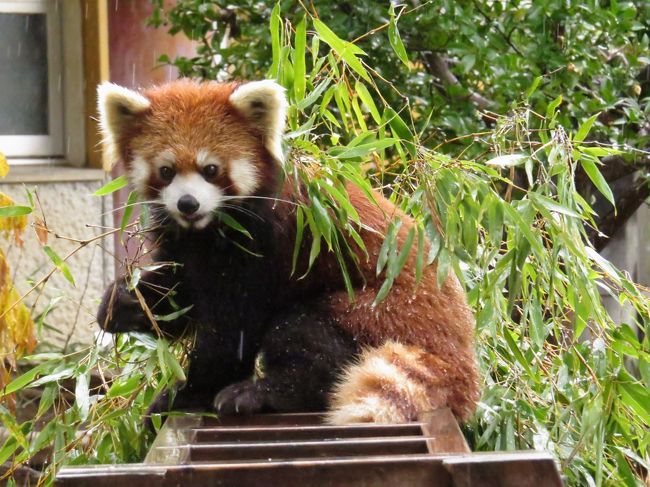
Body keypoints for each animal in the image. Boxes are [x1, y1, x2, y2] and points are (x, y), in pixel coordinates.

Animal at [97, 79, 480, 424]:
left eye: (211, 170)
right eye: (166, 171)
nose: (188, 203)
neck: (210, 228)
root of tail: (458, 354)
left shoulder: (265, 242)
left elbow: (231, 329)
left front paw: (191, 393)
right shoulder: (184, 243)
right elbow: (181, 295)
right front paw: (124, 302)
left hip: (376, 313)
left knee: (303, 331)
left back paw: (259, 394)